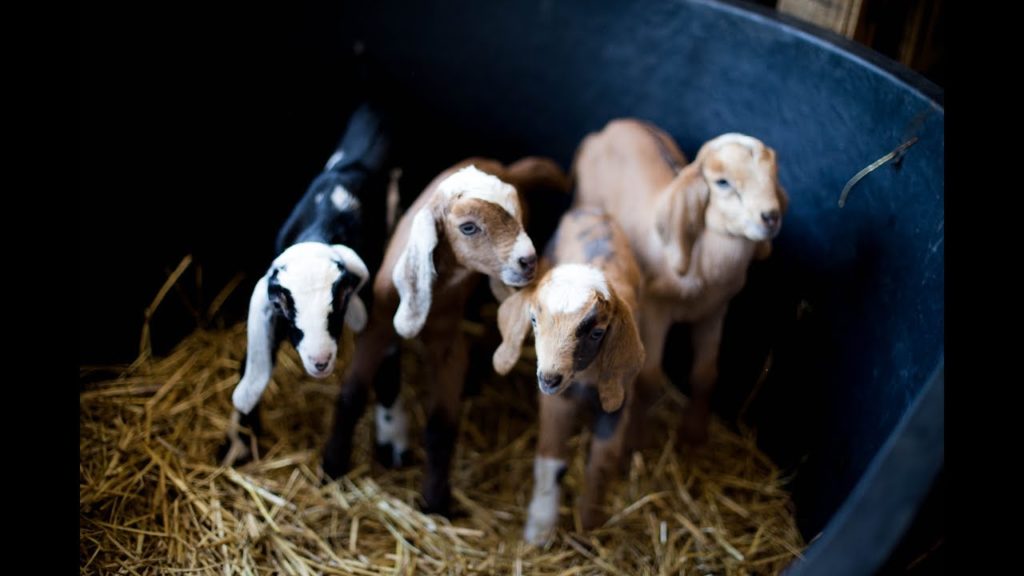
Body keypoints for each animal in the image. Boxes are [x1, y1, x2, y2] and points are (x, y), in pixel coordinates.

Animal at [321, 156, 571, 516]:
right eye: (468, 227)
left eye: (517, 216)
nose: (528, 262)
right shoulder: (377, 326)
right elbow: (351, 395)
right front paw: (332, 465)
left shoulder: (449, 344)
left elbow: (442, 425)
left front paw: (435, 501)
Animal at [492, 207, 645, 544]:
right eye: (533, 320)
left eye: (597, 333)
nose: (549, 378)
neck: (585, 380)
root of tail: (590, 210)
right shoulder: (556, 402)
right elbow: (550, 459)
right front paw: (539, 531)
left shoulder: (618, 399)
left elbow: (601, 464)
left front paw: (589, 528)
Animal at [572, 119, 788, 445]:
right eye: (722, 182)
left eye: (772, 175)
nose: (770, 216)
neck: (704, 261)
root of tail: (611, 127)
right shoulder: (656, 309)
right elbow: (649, 379)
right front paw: (636, 440)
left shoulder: (715, 311)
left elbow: (705, 373)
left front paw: (694, 434)